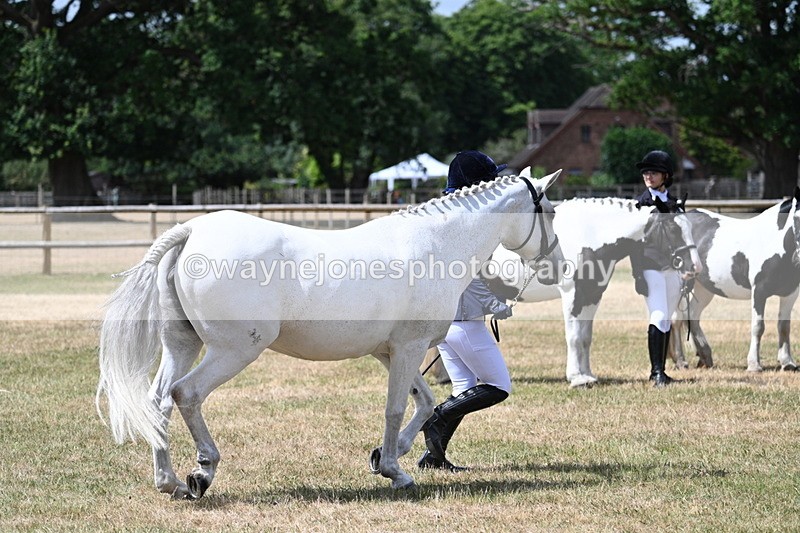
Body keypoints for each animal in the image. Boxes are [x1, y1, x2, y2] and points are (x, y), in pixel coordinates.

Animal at [96, 169, 565, 499]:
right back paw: (202, 472)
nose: (557, 267)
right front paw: (395, 472)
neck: (435, 244)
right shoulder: (409, 347)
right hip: (233, 350)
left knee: (158, 400)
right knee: (186, 394)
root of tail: (192, 231)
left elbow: (426, 401)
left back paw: (170, 482)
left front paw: (388, 456)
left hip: (183, 344)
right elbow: (396, 408)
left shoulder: (389, 351)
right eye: (551, 211)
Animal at [486, 197, 702, 387]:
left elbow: (585, 337)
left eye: (690, 227)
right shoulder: (572, 294)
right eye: (673, 228)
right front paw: (576, 378)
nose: (695, 266)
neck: (589, 235)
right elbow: (573, 337)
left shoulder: (591, 295)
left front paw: (587, 375)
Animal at [670, 187, 800, 371]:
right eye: (796, 218)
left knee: (693, 316)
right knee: (676, 318)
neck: (774, 242)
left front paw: (787, 362)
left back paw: (705, 356)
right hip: (683, 283)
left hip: (704, 288)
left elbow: (784, 327)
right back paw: (681, 361)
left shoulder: (790, 293)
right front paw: (754, 365)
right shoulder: (759, 291)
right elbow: (758, 327)